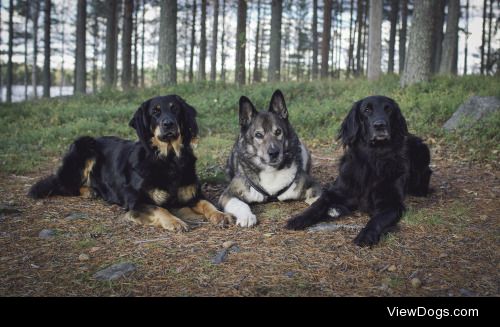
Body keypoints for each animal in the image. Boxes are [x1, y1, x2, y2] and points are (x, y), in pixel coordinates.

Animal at [30, 95, 233, 232]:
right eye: (155, 112)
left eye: (175, 109)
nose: (168, 124)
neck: (169, 160)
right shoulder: (137, 202)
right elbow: (159, 208)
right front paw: (175, 221)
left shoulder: (193, 195)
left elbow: (207, 204)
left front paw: (221, 215)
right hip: (85, 144)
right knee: (65, 185)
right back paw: (89, 191)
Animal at [288, 96, 432, 247]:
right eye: (367, 110)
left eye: (388, 109)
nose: (380, 125)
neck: (373, 158)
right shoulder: (340, 190)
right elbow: (319, 203)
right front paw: (299, 218)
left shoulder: (392, 204)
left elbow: (377, 220)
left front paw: (366, 235)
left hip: (422, 150)